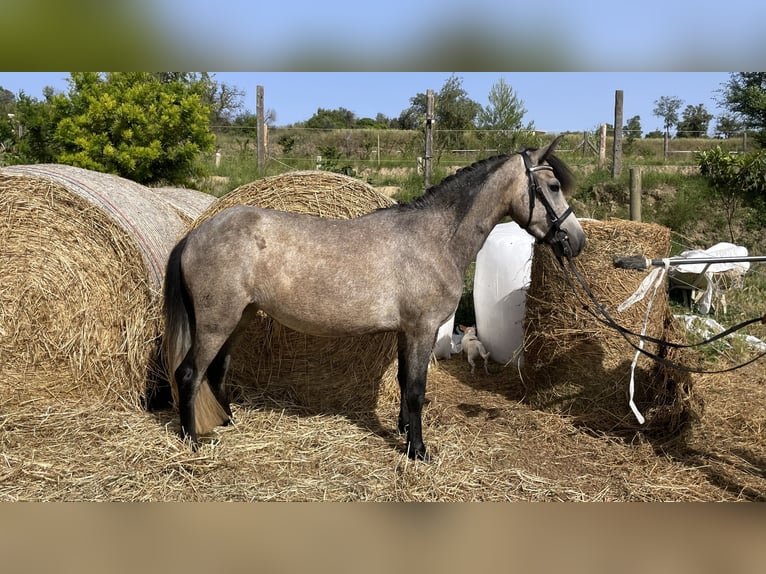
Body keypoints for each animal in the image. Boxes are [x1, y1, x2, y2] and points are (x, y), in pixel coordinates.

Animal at [164, 134, 588, 460]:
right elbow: (416, 390)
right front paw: (418, 450)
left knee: (217, 371)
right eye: (552, 187)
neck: (434, 238)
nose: (576, 240)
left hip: (239, 317)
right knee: (188, 374)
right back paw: (191, 440)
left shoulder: (406, 332)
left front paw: (403, 432)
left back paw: (228, 421)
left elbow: (402, 382)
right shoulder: (421, 330)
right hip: (217, 323)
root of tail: (196, 233)